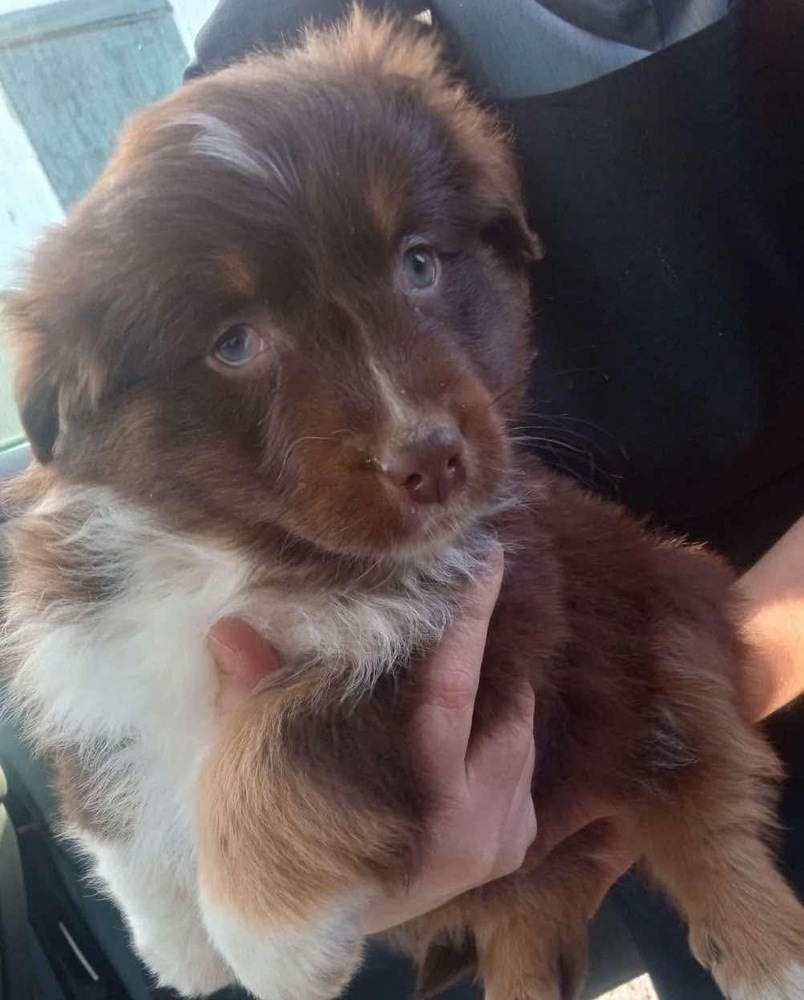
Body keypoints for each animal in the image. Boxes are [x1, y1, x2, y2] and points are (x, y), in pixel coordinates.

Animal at [1, 9, 804, 1000]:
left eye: (418, 264)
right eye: (235, 344)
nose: (430, 459)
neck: (242, 554)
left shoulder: (488, 616)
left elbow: (288, 727)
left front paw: (265, 934)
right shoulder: (88, 637)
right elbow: (108, 779)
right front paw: (175, 939)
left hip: (664, 600)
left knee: (706, 781)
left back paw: (766, 953)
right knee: (532, 919)